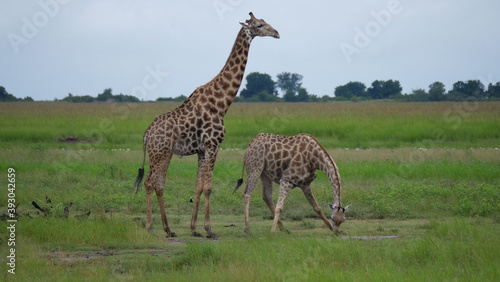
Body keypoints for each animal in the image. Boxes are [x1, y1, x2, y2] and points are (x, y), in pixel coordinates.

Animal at [135, 13, 280, 238]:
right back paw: (151, 227)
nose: (277, 33)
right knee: (150, 182)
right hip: (159, 152)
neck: (221, 103)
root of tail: (146, 134)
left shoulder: (202, 150)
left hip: (164, 153)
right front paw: (209, 229)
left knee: (159, 184)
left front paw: (194, 229)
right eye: (259, 25)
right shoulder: (213, 145)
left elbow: (198, 187)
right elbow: (209, 187)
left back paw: (168, 229)